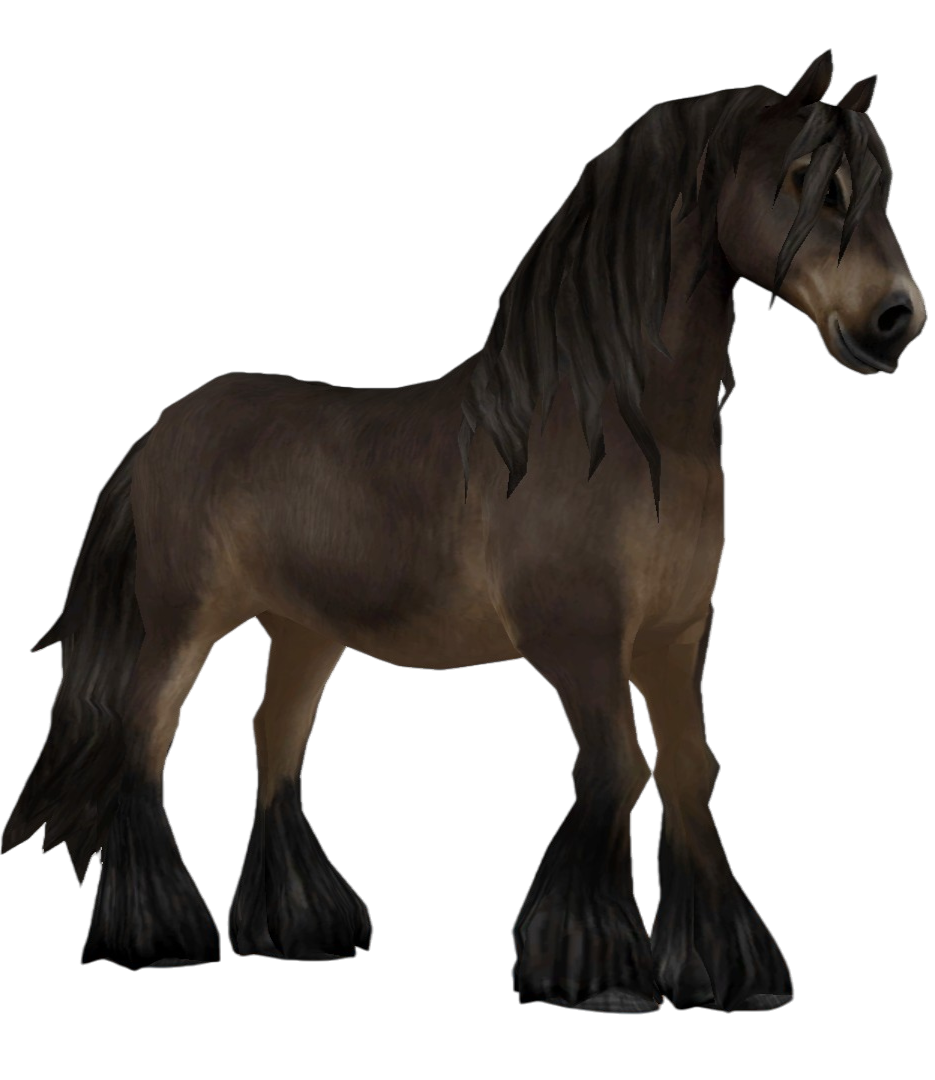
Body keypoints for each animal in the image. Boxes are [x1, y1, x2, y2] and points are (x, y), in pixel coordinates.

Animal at [3, 50, 924, 1008]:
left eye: (877, 191)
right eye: (806, 180)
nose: (897, 317)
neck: (615, 431)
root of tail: (162, 432)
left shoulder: (674, 641)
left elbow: (687, 770)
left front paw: (728, 970)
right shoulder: (582, 645)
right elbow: (617, 770)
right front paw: (591, 966)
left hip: (306, 632)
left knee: (274, 743)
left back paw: (302, 928)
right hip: (183, 624)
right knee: (143, 742)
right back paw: (158, 934)